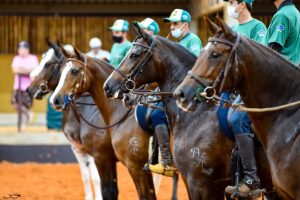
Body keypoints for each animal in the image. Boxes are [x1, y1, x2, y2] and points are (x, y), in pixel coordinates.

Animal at [27, 41, 118, 199]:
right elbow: (86, 177)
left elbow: (96, 179)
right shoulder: (78, 149)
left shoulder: (97, 154)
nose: (29, 89)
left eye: (47, 63)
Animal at [48, 47, 159, 200]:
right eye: (62, 70)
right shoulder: (110, 161)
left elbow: (106, 191)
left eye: (74, 71)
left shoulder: (102, 158)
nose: (55, 100)